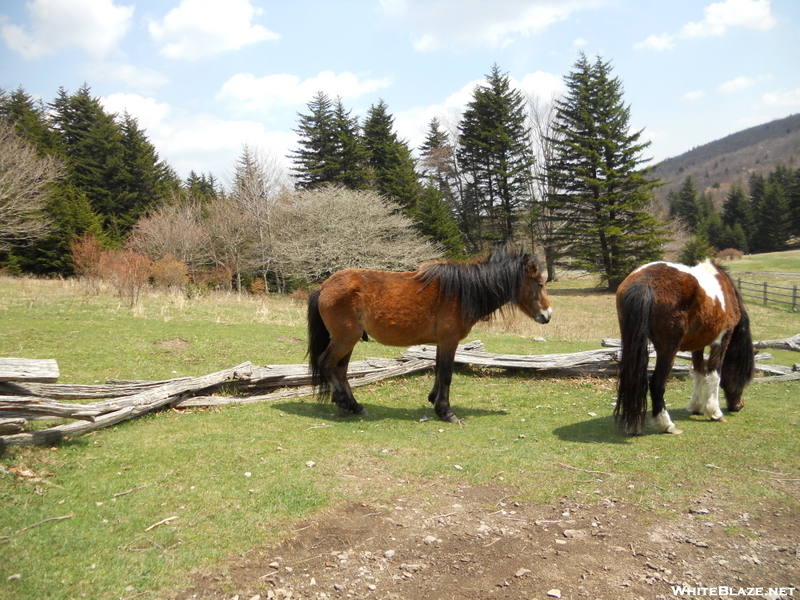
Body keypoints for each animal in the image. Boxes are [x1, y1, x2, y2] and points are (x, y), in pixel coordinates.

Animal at [306, 246, 552, 424]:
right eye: (540, 283)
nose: (547, 315)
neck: (460, 292)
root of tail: (324, 287)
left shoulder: (441, 343)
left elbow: (438, 372)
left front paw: (435, 401)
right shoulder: (450, 341)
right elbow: (446, 375)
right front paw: (446, 412)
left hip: (348, 340)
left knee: (340, 369)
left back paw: (354, 405)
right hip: (344, 339)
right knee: (327, 364)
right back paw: (343, 402)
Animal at [612, 260, 756, 434]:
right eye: (745, 378)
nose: (739, 406)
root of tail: (645, 280)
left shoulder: (698, 344)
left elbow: (699, 372)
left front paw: (696, 406)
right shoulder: (722, 339)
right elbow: (714, 374)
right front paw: (714, 412)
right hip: (668, 349)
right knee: (656, 383)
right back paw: (666, 424)